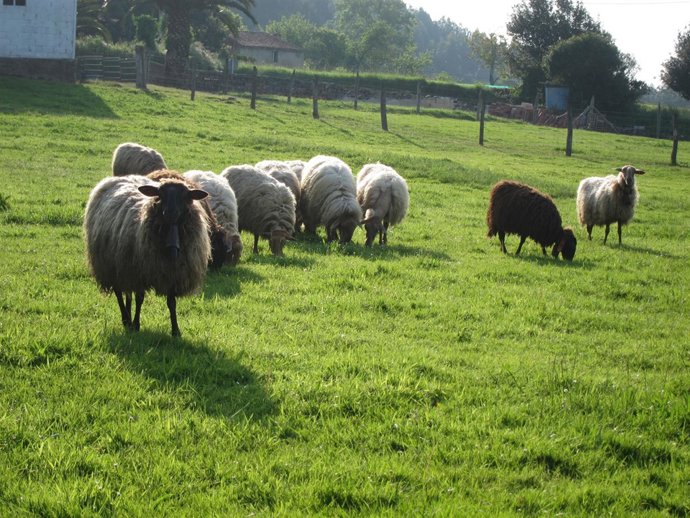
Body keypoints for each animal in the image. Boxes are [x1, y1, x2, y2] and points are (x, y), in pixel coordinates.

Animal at [83, 172, 211, 337]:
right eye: (160, 195)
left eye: (185, 196)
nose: (169, 213)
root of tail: (120, 177)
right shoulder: (139, 271)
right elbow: (139, 298)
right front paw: (136, 324)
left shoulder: (173, 274)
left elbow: (171, 302)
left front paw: (175, 330)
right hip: (111, 266)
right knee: (119, 292)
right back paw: (126, 319)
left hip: (124, 267)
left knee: (127, 293)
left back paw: (128, 318)